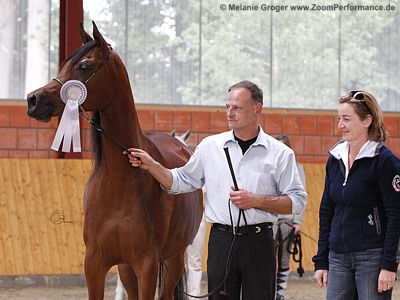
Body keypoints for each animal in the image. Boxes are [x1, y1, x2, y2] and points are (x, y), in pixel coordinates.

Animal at [25, 22, 203, 298]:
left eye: (84, 66)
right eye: (63, 65)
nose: (33, 100)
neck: (120, 183)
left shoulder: (147, 264)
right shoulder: (96, 263)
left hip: (173, 258)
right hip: (126, 268)